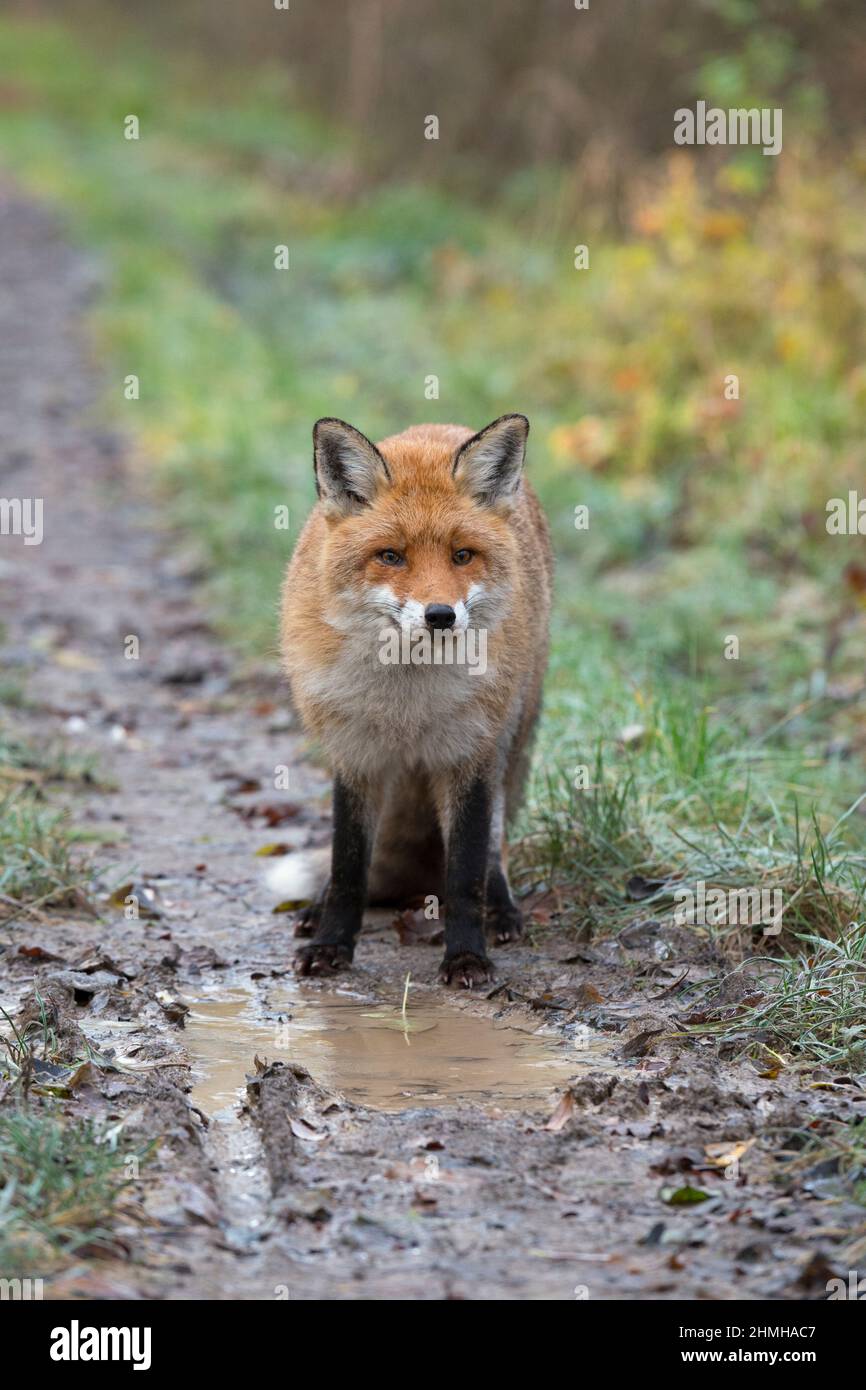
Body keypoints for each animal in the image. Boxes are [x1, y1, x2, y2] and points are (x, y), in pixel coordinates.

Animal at [276, 413, 553, 988]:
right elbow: (348, 864)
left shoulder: (468, 754)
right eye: (391, 556)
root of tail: (440, 424)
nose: (440, 615)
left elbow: (465, 873)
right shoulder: (354, 753)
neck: (406, 703)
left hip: (511, 735)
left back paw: (502, 909)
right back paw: (315, 908)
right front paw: (331, 943)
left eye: (462, 555)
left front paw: (466, 955)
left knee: (494, 844)